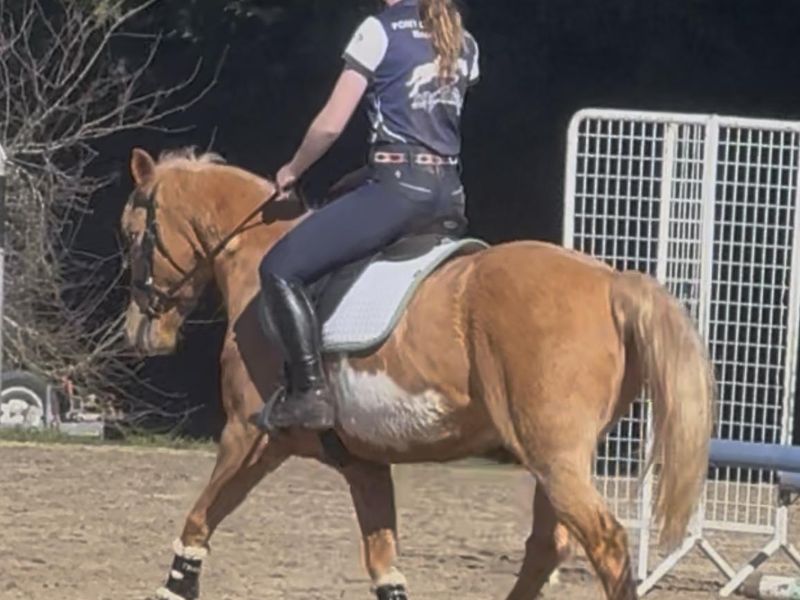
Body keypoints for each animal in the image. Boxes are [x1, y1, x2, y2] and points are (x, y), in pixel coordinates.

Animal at [119, 146, 715, 600]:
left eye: (130, 235)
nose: (138, 333)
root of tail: (611, 280)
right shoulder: (363, 465)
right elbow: (385, 566)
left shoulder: (249, 436)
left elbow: (200, 517)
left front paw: (176, 584)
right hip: (552, 461)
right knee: (548, 547)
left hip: (554, 458)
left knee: (605, 543)